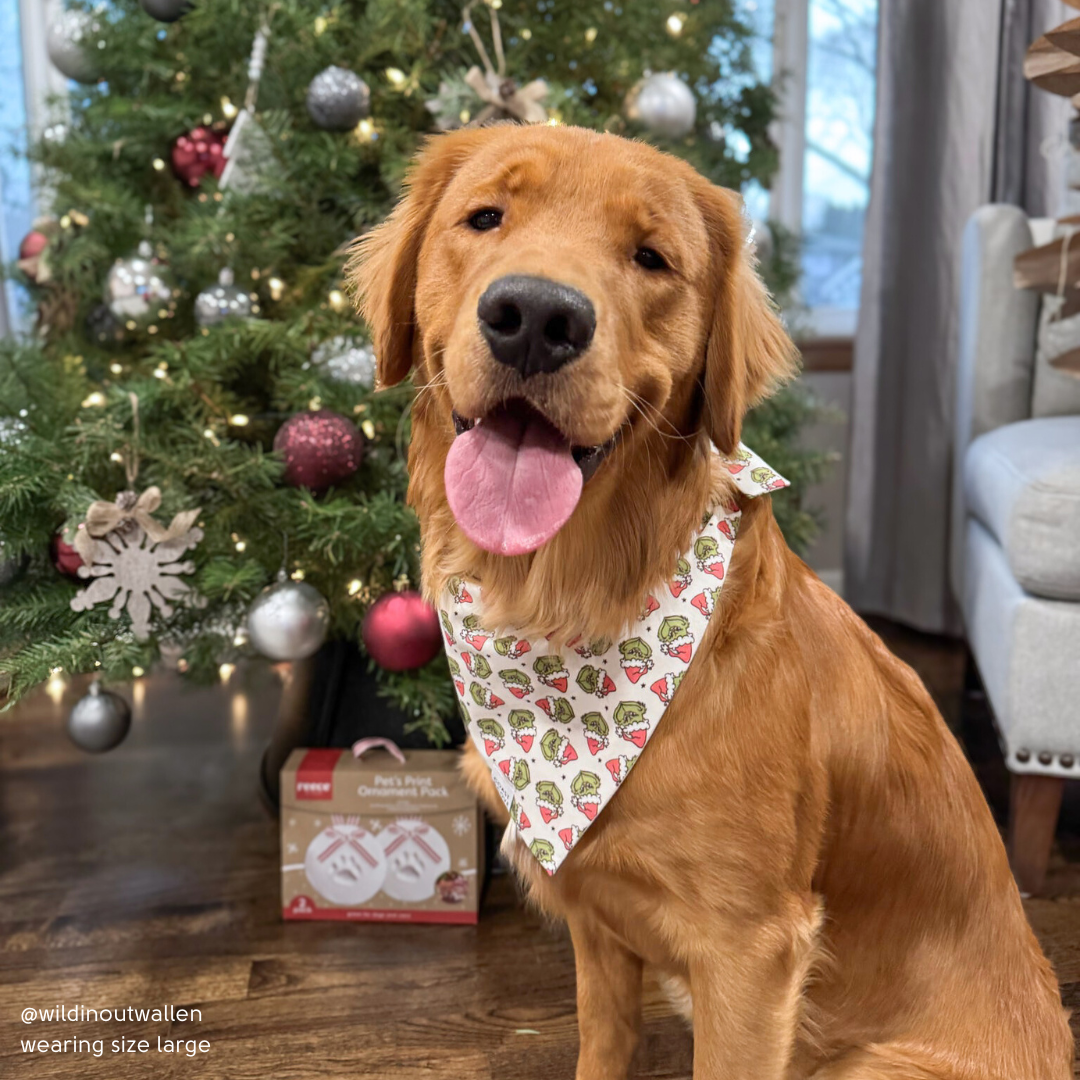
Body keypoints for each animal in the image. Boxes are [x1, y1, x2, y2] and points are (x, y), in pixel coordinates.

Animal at [354, 126, 1071, 1080]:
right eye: (485, 217)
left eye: (652, 257)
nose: (536, 319)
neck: (574, 609)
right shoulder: (599, 917)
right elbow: (604, 1042)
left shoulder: (750, 953)